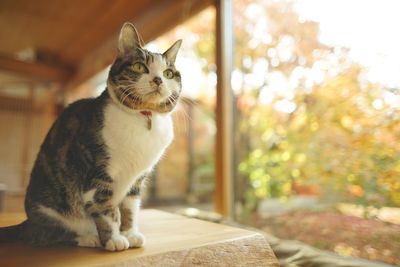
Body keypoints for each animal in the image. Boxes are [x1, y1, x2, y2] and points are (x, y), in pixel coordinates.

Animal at [0, 22, 181, 251]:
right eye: (140, 67)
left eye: (168, 73)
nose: (158, 80)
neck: (143, 118)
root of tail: (26, 222)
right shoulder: (98, 175)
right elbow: (106, 210)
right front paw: (113, 240)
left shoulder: (137, 180)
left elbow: (130, 209)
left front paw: (130, 234)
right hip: (49, 211)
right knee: (48, 234)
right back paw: (89, 238)